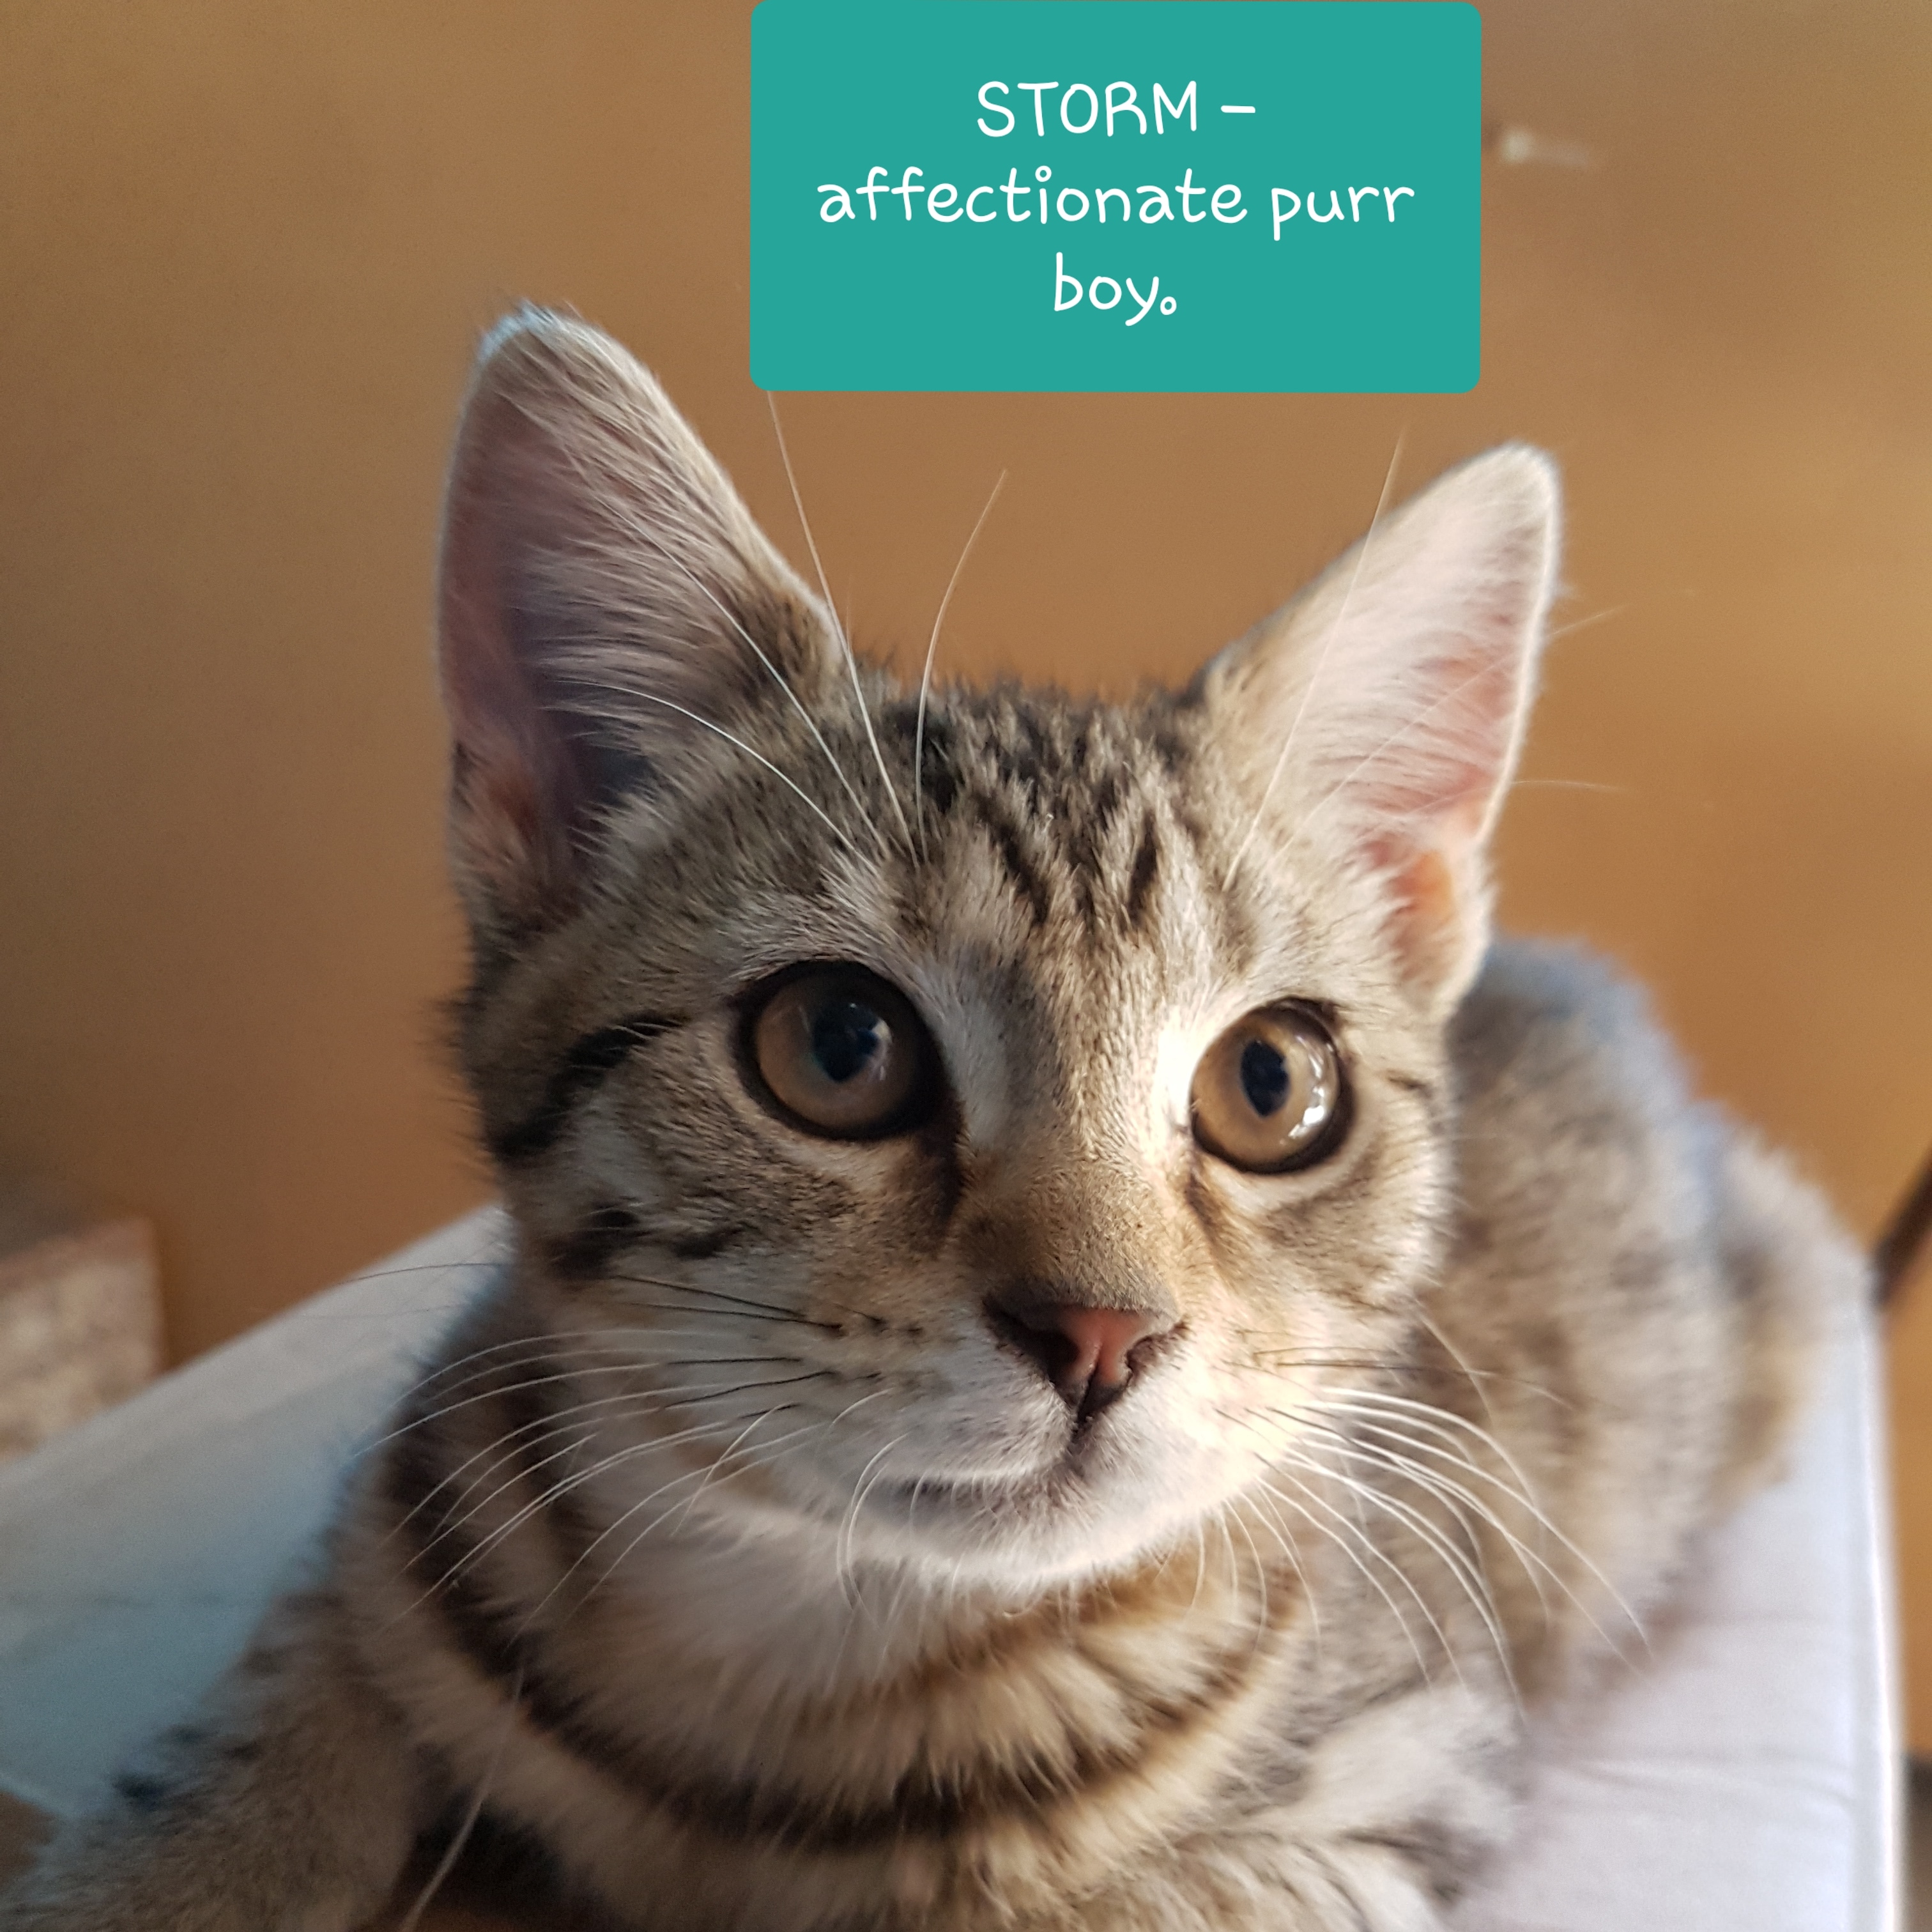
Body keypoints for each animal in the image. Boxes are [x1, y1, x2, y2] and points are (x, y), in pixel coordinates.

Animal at [0, 308, 1861, 1932]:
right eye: (840, 1045)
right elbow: (236, 1745)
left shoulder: (1400, 1787)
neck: (804, 1651)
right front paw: (157, 1872)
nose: (1105, 1332)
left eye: (1273, 1086)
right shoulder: (386, 1541)